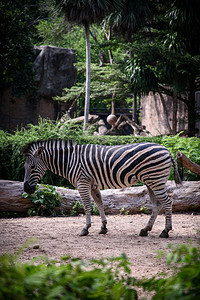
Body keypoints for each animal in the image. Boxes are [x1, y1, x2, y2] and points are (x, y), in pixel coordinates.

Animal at [22, 139, 182, 238]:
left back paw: (165, 231)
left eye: (32, 167)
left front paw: (85, 228)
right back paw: (145, 230)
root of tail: (167, 150)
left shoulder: (83, 183)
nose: (27, 189)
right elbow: (99, 204)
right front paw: (103, 228)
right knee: (156, 205)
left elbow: (87, 205)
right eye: (25, 167)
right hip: (151, 182)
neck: (70, 160)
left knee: (167, 202)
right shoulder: (92, 185)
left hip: (155, 180)